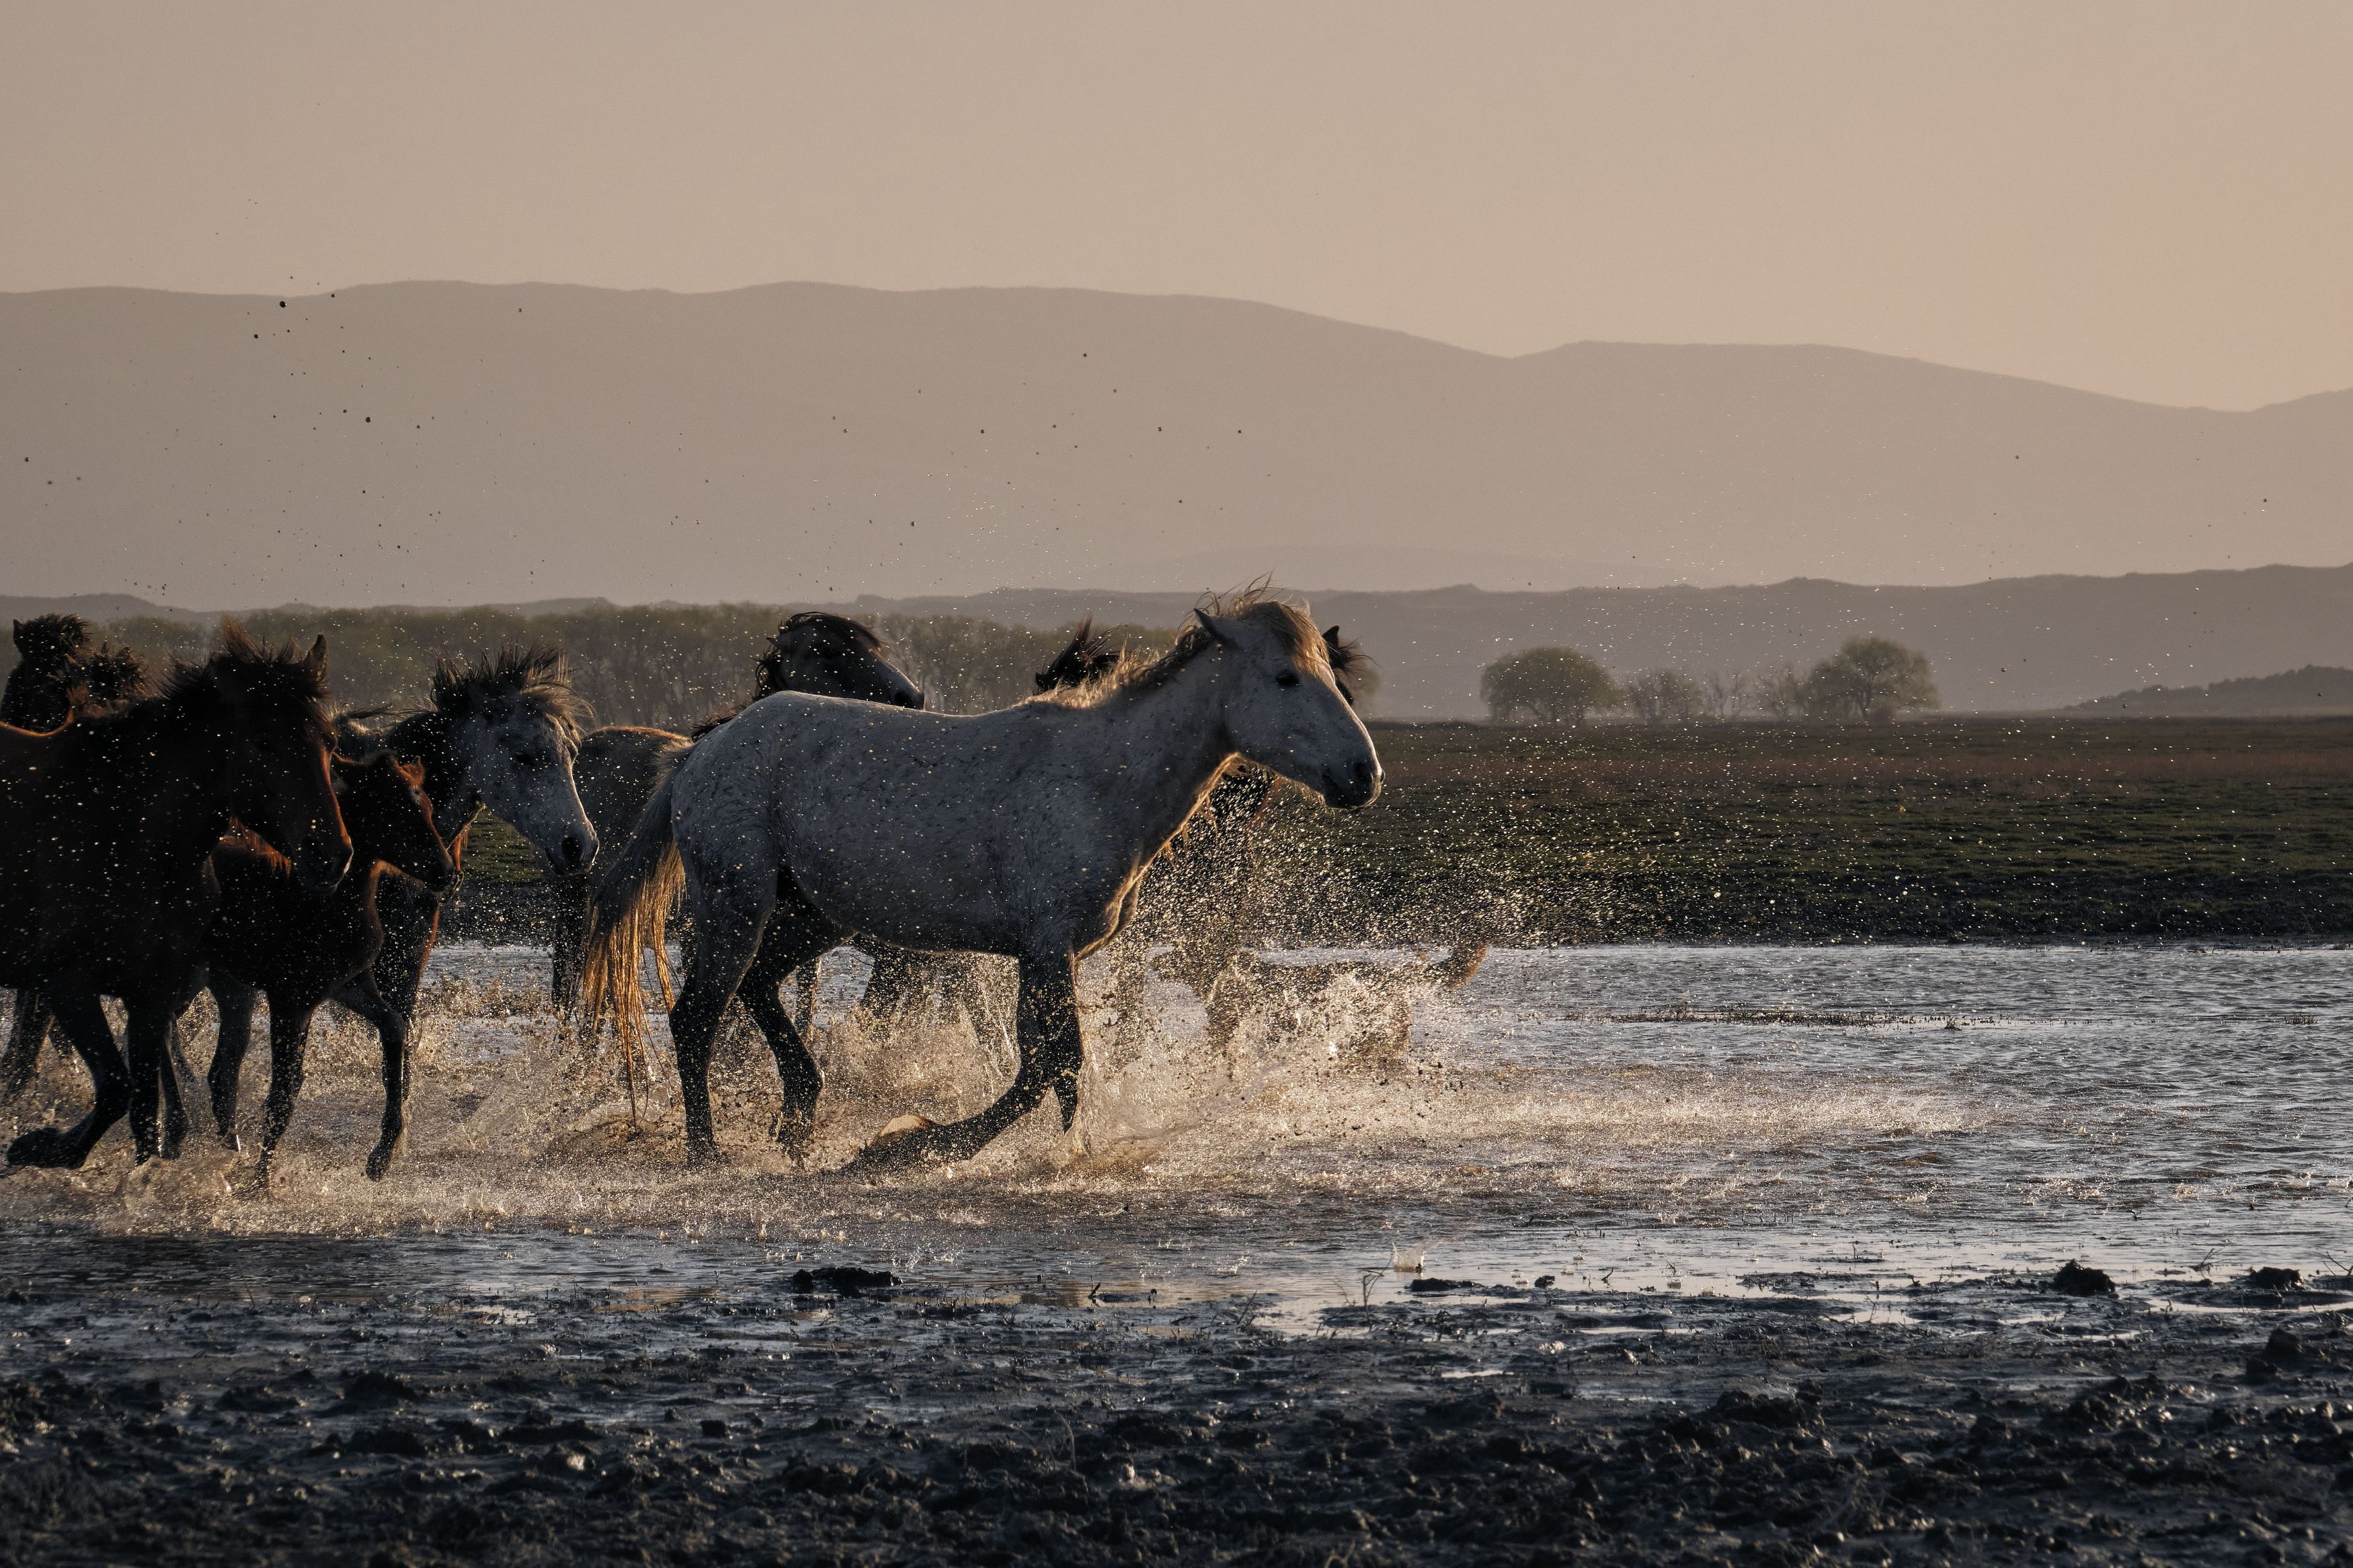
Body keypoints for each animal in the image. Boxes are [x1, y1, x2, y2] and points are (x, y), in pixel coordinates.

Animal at [0, 620, 346, 1165]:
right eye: (264, 743)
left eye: (330, 742)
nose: (331, 856)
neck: (126, 831)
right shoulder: (65, 983)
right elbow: (115, 1088)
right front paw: (38, 1146)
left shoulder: (151, 992)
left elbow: (143, 1109)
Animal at [209, 747, 456, 1175]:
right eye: (392, 808)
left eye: (425, 806)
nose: (445, 873)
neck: (330, 907)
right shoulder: (290, 998)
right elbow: (283, 1092)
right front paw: (259, 1182)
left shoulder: (346, 985)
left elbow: (394, 1028)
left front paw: (381, 1156)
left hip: (230, 986)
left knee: (221, 1074)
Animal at [579, 597, 1374, 1165]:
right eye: (1286, 678)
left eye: (1338, 683)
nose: (1361, 775)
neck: (1102, 779)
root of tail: (701, 751)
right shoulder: (1048, 948)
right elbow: (1051, 1066)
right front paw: (919, 1145)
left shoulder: (1046, 955)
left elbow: (1044, 1067)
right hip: (735, 903)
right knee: (695, 1015)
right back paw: (707, 1151)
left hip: (812, 916)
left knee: (757, 987)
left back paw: (799, 1117)